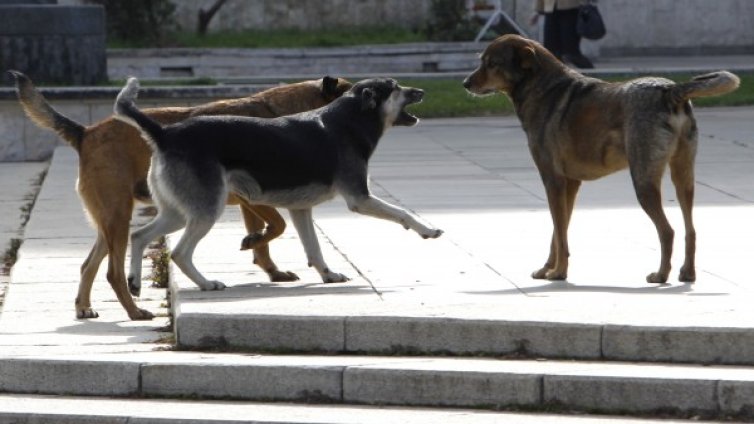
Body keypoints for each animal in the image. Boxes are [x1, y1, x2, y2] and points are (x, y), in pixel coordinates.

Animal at [11, 72, 352, 318]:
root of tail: (85, 133)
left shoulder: (250, 203)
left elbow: (267, 235)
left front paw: (270, 266)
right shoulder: (253, 198)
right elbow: (276, 226)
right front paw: (254, 245)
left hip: (109, 222)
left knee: (89, 265)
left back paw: (85, 306)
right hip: (121, 217)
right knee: (113, 272)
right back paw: (135, 310)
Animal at [111, 78, 440, 294]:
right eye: (395, 87)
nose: (423, 90)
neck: (349, 119)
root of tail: (165, 134)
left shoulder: (301, 210)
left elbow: (314, 249)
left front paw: (328, 275)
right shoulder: (360, 198)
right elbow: (402, 214)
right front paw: (427, 229)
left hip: (179, 212)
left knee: (139, 236)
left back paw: (135, 282)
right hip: (205, 210)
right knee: (179, 253)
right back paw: (206, 283)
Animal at [462, 34, 736, 284]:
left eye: (492, 64)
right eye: (482, 61)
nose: (465, 83)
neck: (542, 87)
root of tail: (670, 91)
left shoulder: (553, 180)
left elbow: (559, 232)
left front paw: (559, 273)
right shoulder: (570, 184)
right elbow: (558, 232)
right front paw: (548, 269)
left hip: (643, 179)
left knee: (667, 231)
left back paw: (660, 274)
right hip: (684, 177)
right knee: (691, 229)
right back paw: (688, 273)